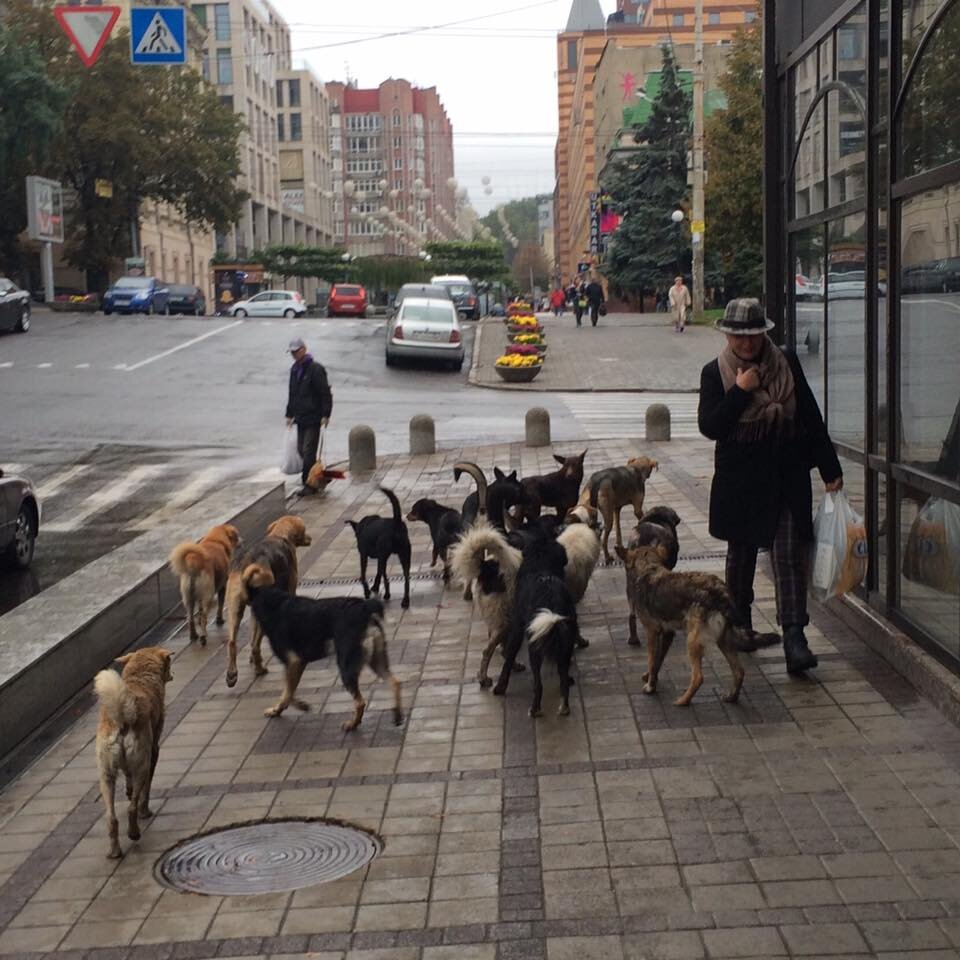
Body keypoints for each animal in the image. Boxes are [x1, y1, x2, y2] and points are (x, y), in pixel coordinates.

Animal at [94, 648, 173, 860]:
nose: (172, 675)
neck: (140, 677)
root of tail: (122, 719)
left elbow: (128, 776)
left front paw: (128, 791)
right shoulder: (153, 752)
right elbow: (146, 790)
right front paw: (145, 810)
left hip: (106, 774)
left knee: (111, 818)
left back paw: (115, 851)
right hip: (142, 764)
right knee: (132, 808)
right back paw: (134, 831)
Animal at [222, 512, 310, 688]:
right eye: (304, 530)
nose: (310, 538)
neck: (279, 534)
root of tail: (249, 567)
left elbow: (250, 638)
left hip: (235, 609)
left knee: (233, 643)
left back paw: (232, 674)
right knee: (256, 646)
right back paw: (259, 669)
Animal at [244, 564, 404, 728]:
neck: (272, 600)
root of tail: (365, 607)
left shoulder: (294, 662)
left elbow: (287, 692)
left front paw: (290, 707)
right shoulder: (299, 663)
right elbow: (290, 690)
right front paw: (286, 707)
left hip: (346, 665)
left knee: (360, 702)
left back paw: (352, 724)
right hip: (376, 660)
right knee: (395, 682)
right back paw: (397, 715)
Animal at [496, 536, 576, 716]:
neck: (542, 565)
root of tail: (551, 598)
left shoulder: (518, 627)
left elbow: (509, 657)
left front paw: (500, 686)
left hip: (535, 644)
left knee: (538, 684)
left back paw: (534, 709)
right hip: (566, 638)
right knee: (563, 678)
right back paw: (564, 707)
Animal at [620, 544, 748, 708]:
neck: (649, 567)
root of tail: (721, 592)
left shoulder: (651, 632)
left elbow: (651, 660)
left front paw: (650, 687)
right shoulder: (667, 634)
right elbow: (657, 661)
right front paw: (651, 678)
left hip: (692, 642)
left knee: (698, 677)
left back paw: (683, 700)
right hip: (723, 640)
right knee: (739, 671)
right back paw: (732, 697)